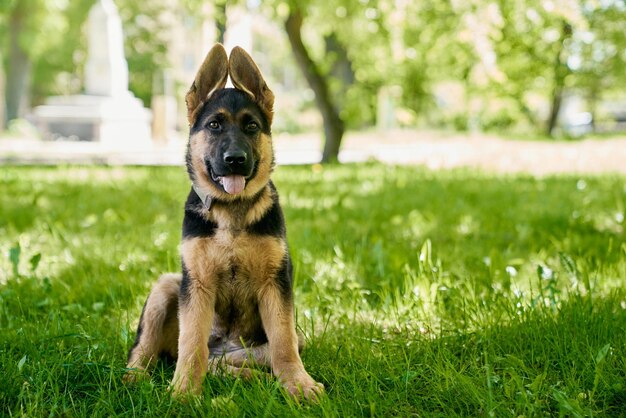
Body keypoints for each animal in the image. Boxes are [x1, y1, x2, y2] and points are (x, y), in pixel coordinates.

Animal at [125, 43, 324, 402]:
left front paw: (298, 384)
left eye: (252, 127)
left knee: (243, 359)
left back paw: (253, 378)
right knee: (151, 350)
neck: (231, 211)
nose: (235, 160)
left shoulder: (276, 284)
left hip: (256, 344)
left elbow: (284, 343)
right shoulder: (197, 285)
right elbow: (192, 344)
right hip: (167, 286)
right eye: (215, 125)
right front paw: (184, 392)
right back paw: (136, 378)